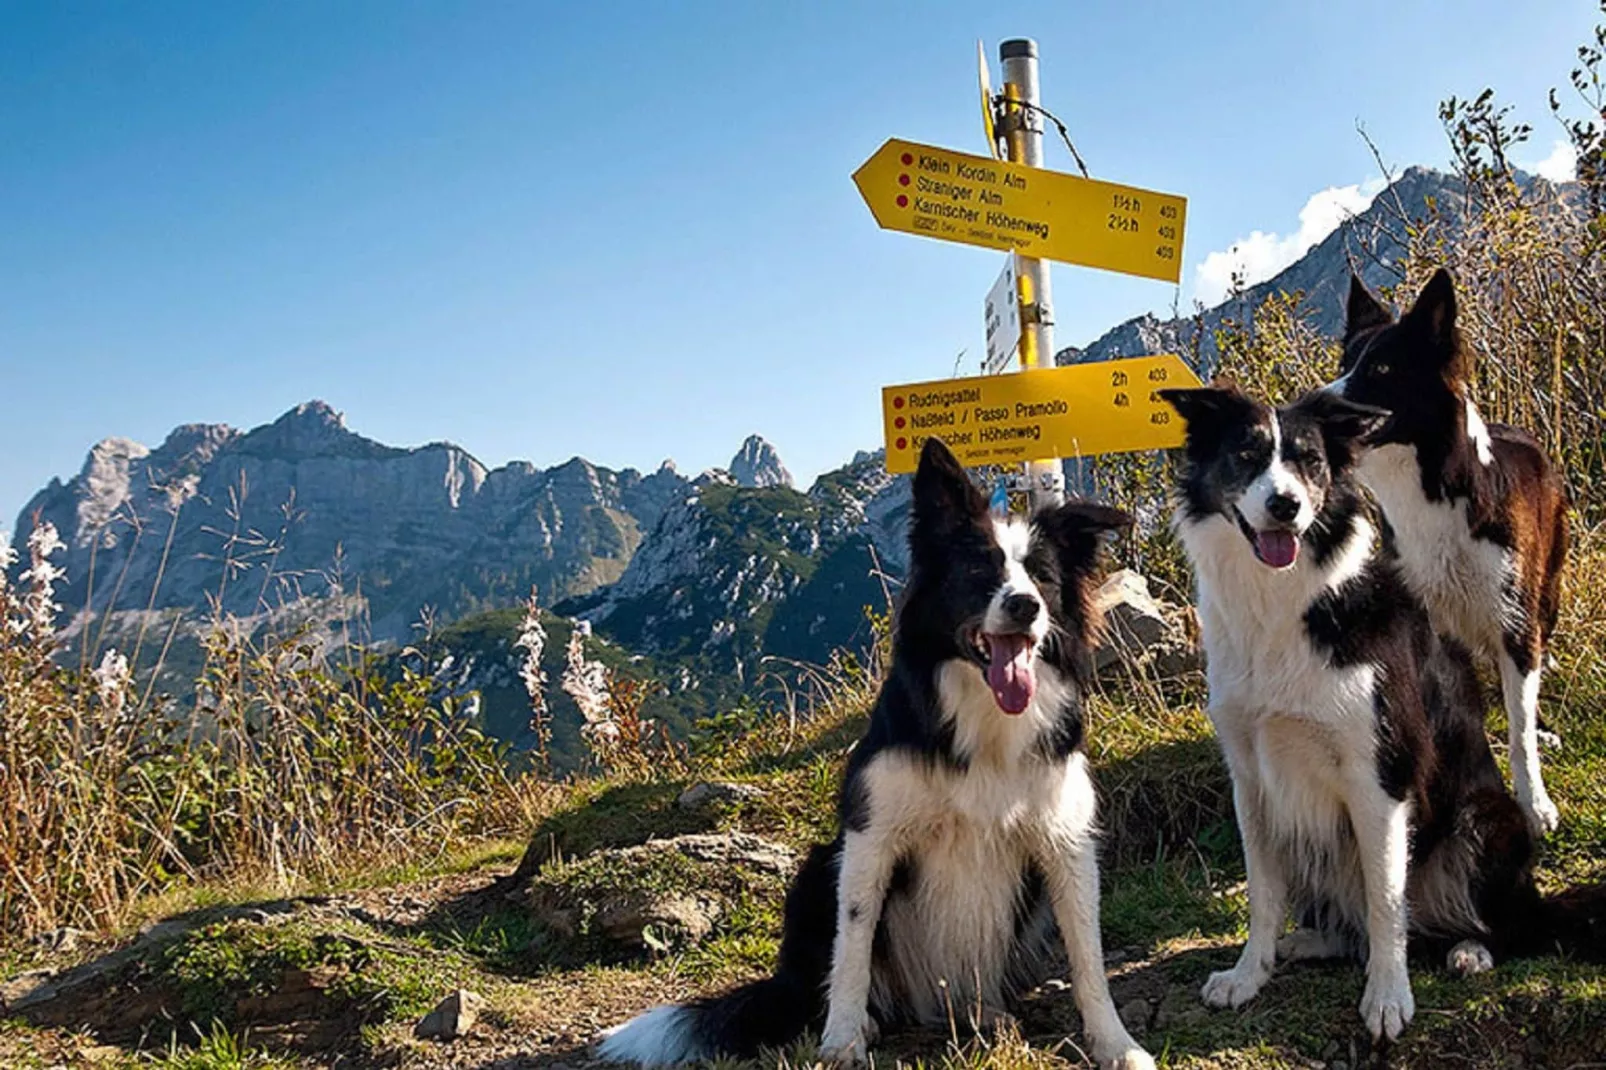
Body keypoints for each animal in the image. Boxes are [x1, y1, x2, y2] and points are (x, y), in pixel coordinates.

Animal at [1323, 268, 1573, 835]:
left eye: (1383, 366)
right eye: (1345, 364)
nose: (1316, 403)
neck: (1432, 492)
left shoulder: (1515, 618)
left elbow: (1520, 731)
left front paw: (1535, 803)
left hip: (1545, 596)